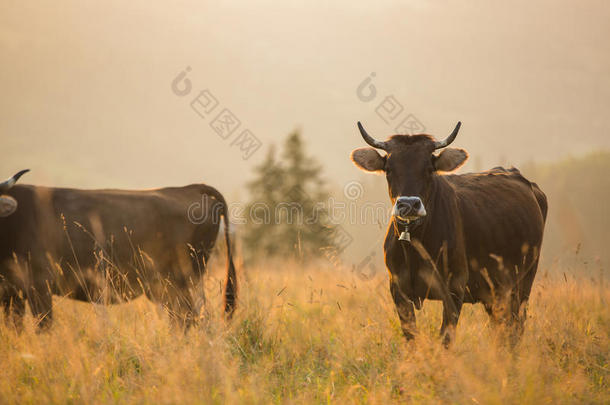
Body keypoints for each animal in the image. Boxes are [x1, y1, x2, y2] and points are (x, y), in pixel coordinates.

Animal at [0, 170, 235, 328]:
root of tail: (189, 188)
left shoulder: (40, 286)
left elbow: (44, 327)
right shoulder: (10, 295)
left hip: (183, 282)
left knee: (194, 320)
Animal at [352, 120, 548, 344]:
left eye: (429, 169)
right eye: (389, 169)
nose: (409, 204)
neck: (415, 247)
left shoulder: (455, 287)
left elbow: (446, 337)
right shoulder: (397, 288)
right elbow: (411, 335)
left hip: (523, 282)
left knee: (516, 326)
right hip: (494, 291)